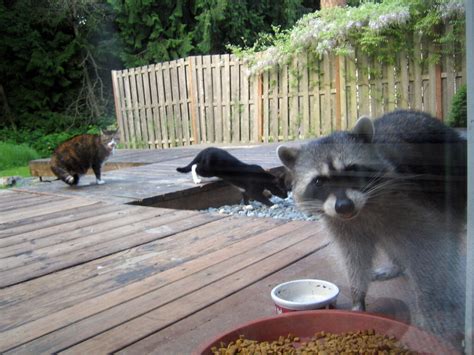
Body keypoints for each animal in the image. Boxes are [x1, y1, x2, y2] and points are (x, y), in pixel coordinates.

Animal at [278, 110, 466, 340]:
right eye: (319, 181)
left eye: (351, 170)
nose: (344, 206)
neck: (361, 209)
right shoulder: (342, 224)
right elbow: (354, 255)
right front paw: (358, 296)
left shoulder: (410, 201)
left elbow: (426, 250)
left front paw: (428, 303)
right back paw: (397, 264)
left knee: (447, 233)